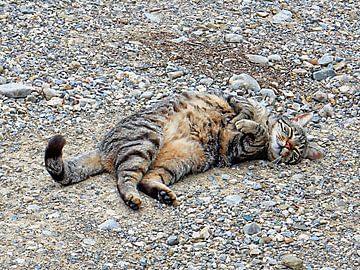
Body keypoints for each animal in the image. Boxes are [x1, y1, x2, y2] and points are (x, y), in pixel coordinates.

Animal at [45, 92, 324, 210]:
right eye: (290, 134)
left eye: (295, 154)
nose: (286, 147)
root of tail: (103, 150)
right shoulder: (237, 102)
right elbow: (244, 107)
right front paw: (245, 118)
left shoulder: (237, 149)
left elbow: (257, 133)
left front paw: (249, 125)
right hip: (146, 139)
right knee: (126, 178)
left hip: (177, 160)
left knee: (137, 180)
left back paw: (159, 195)